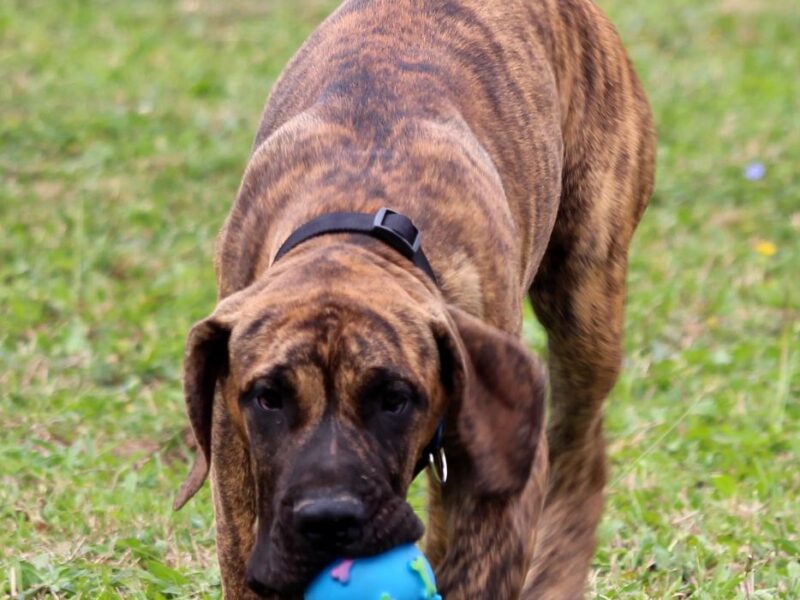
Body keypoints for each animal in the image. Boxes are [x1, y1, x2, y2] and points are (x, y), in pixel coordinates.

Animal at [175, 2, 656, 596]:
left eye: (394, 398)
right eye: (269, 398)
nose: (328, 518)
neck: (357, 224)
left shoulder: (503, 475)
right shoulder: (233, 457)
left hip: (587, 308)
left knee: (582, 448)